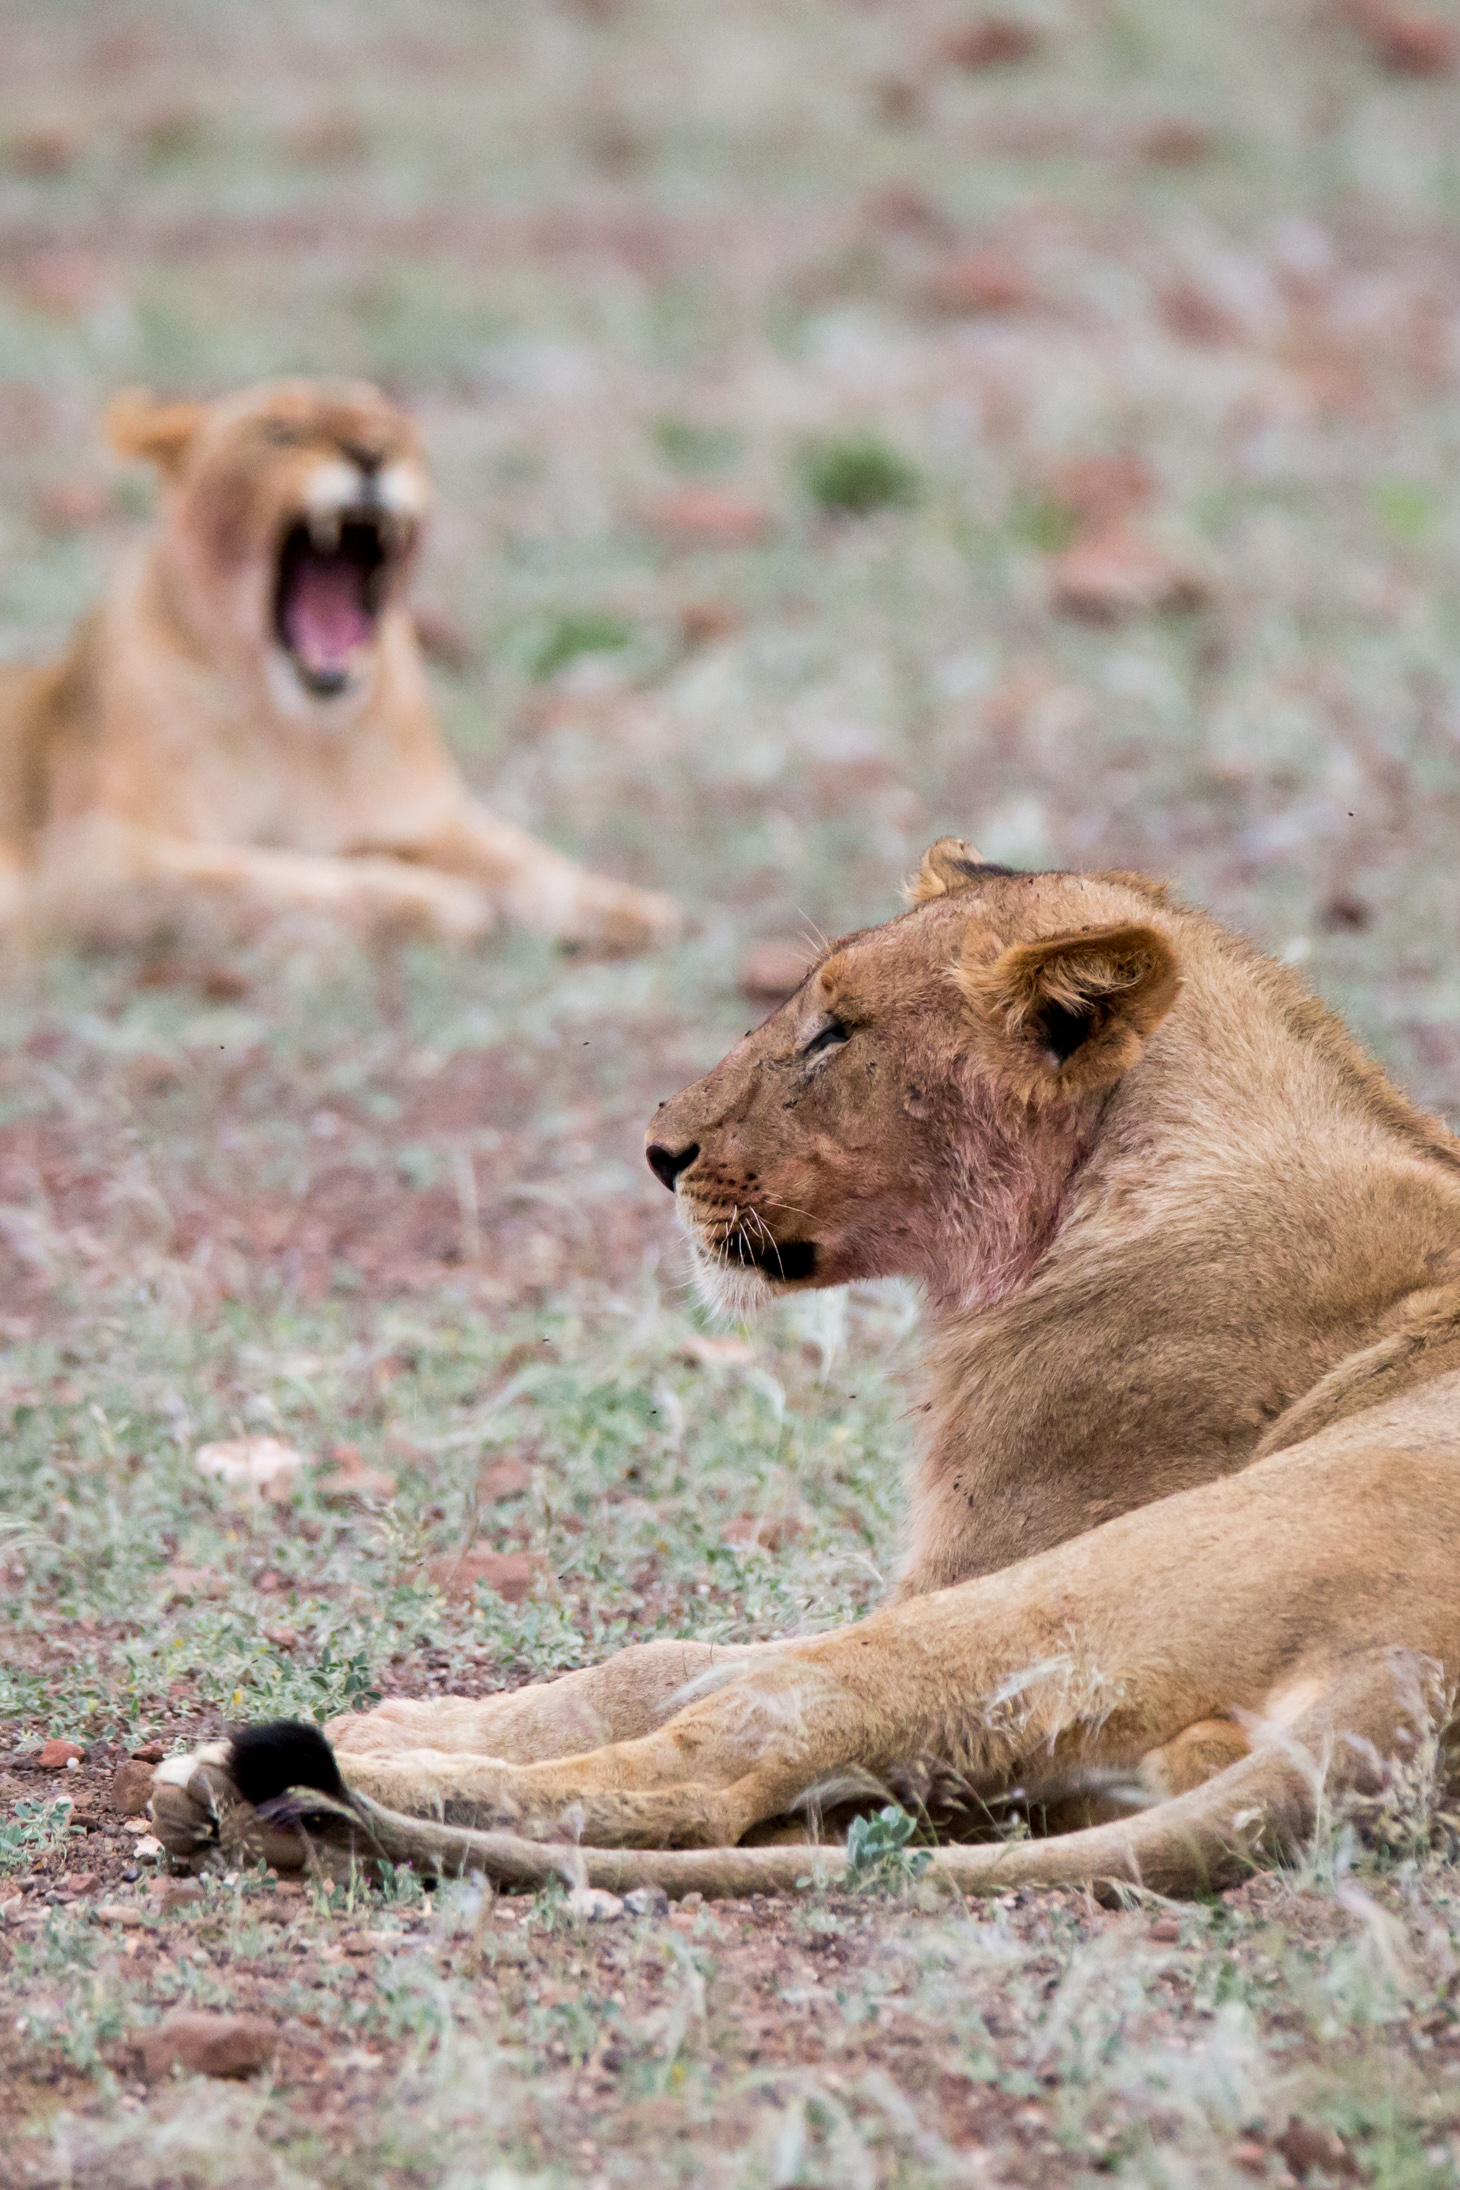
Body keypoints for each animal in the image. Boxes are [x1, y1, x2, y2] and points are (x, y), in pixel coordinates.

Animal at [0, 379, 676, 953]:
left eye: (394, 429)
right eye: (280, 432)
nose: (371, 453)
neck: (298, 730)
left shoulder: (429, 816)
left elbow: (524, 858)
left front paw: (630, 909)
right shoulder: (90, 861)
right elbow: (263, 876)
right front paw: (430, 902)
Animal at [150, 842, 1460, 1898]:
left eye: (833, 1032)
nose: (659, 1151)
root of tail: (1403, 1693)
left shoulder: (981, 1556)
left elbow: (679, 1680)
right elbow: (659, 1663)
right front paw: (409, 1717)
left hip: (1094, 1581)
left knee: (726, 1762)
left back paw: (265, 1797)